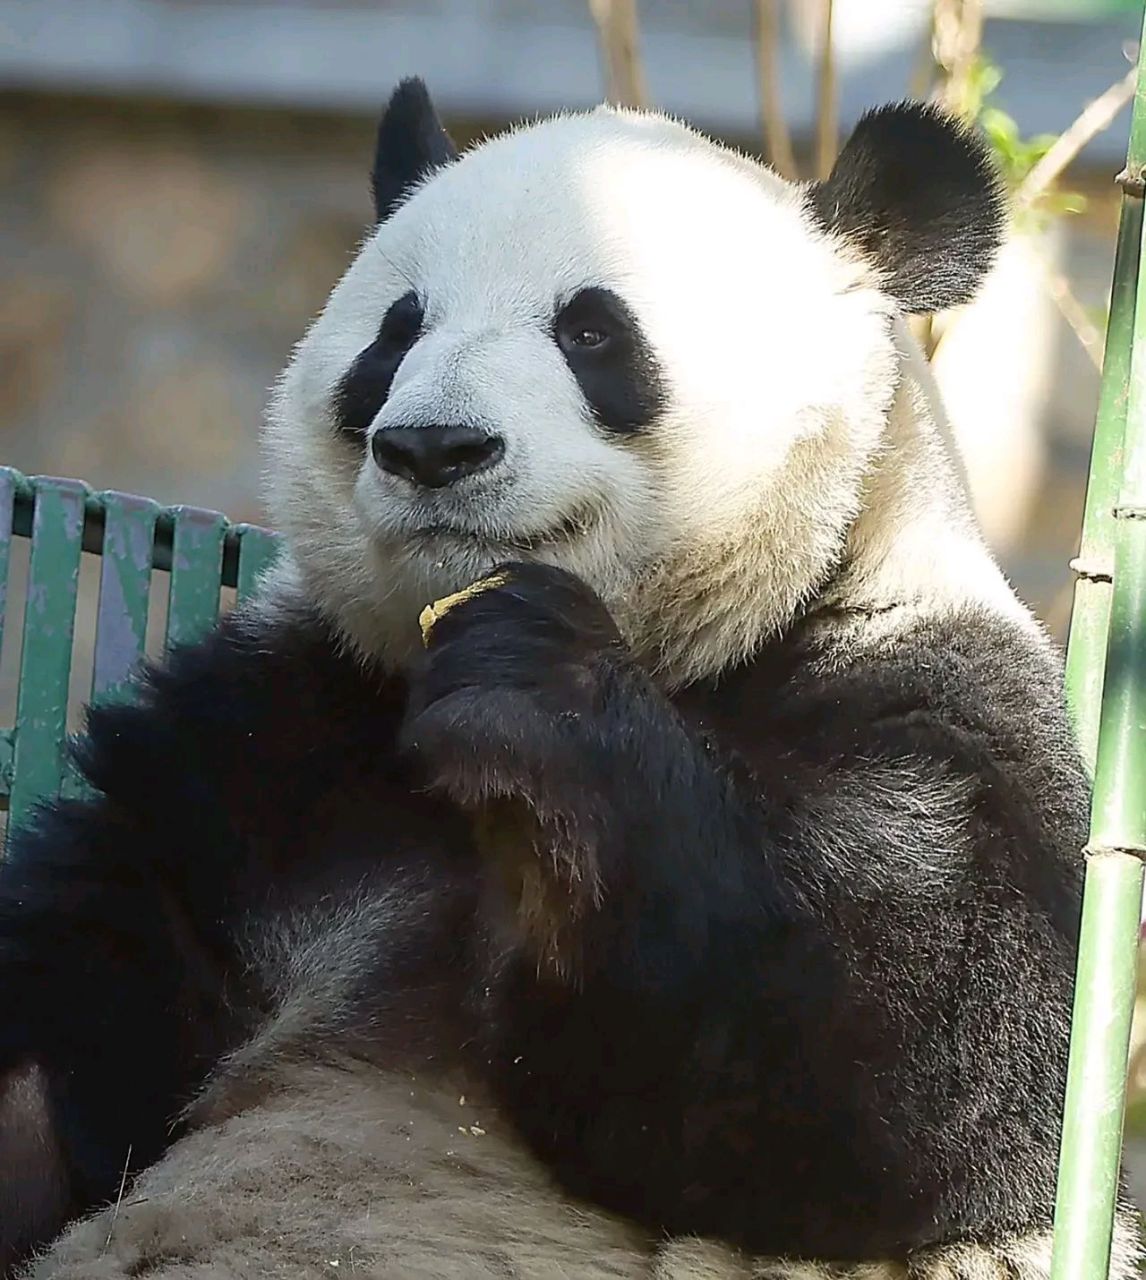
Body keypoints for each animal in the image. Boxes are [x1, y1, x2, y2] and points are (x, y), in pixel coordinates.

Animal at [0, 77, 1137, 1280]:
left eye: (590, 331)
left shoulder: (937, 702)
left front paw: (536, 701)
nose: (432, 447)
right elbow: (92, 988)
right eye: (397, 332)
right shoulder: (275, 744)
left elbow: (928, 1068)